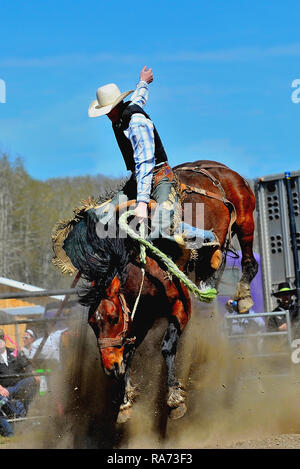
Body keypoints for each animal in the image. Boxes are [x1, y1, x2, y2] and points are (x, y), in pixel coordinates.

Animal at [51, 159, 258, 422]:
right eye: (92, 323)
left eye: (113, 317)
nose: (110, 368)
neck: (146, 266)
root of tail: (217, 166)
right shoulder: (142, 316)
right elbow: (128, 351)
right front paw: (125, 402)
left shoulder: (180, 306)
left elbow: (167, 346)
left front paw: (174, 399)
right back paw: (210, 270)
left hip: (245, 221)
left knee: (250, 262)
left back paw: (243, 297)